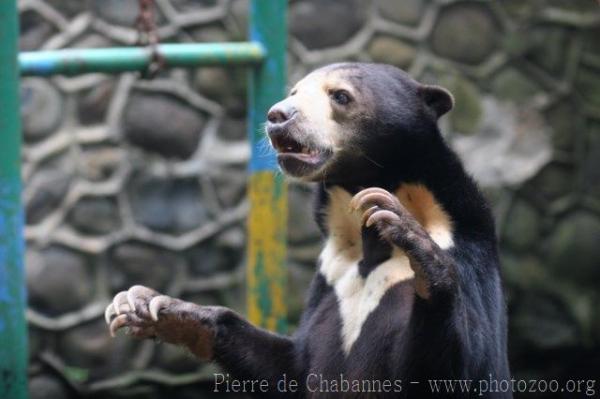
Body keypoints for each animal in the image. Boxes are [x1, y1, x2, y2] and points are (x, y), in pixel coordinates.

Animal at [105, 64, 508, 398]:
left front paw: (406, 233)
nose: (277, 116)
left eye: (340, 95)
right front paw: (147, 306)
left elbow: (460, 366)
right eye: (294, 91)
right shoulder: (332, 271)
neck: (367, 246)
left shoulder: (464, 250)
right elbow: (289, 366)